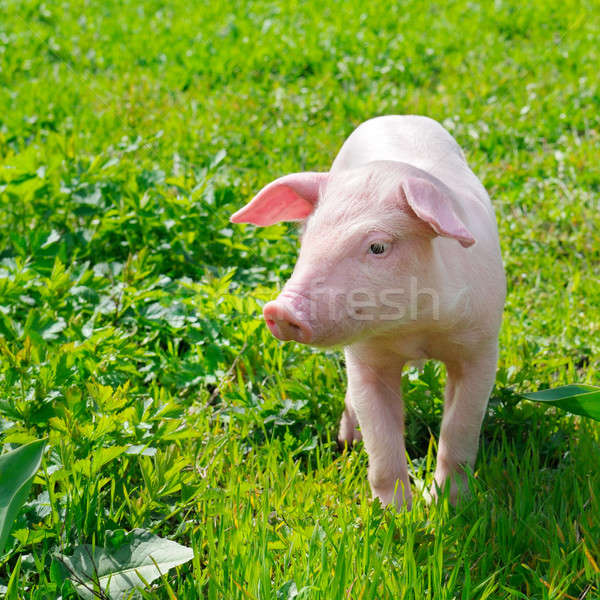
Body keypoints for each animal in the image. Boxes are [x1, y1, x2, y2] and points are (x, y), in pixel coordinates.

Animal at [232, 116, 504, 506]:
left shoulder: (481, 346)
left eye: (378, 247)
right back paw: (347, 440)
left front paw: (447, 505)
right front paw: (396, 514)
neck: (415, 328)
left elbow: (460, 429)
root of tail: (398, 116)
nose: (280, 310)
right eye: (306, 240)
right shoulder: (366, 358)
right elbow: (381, 442)